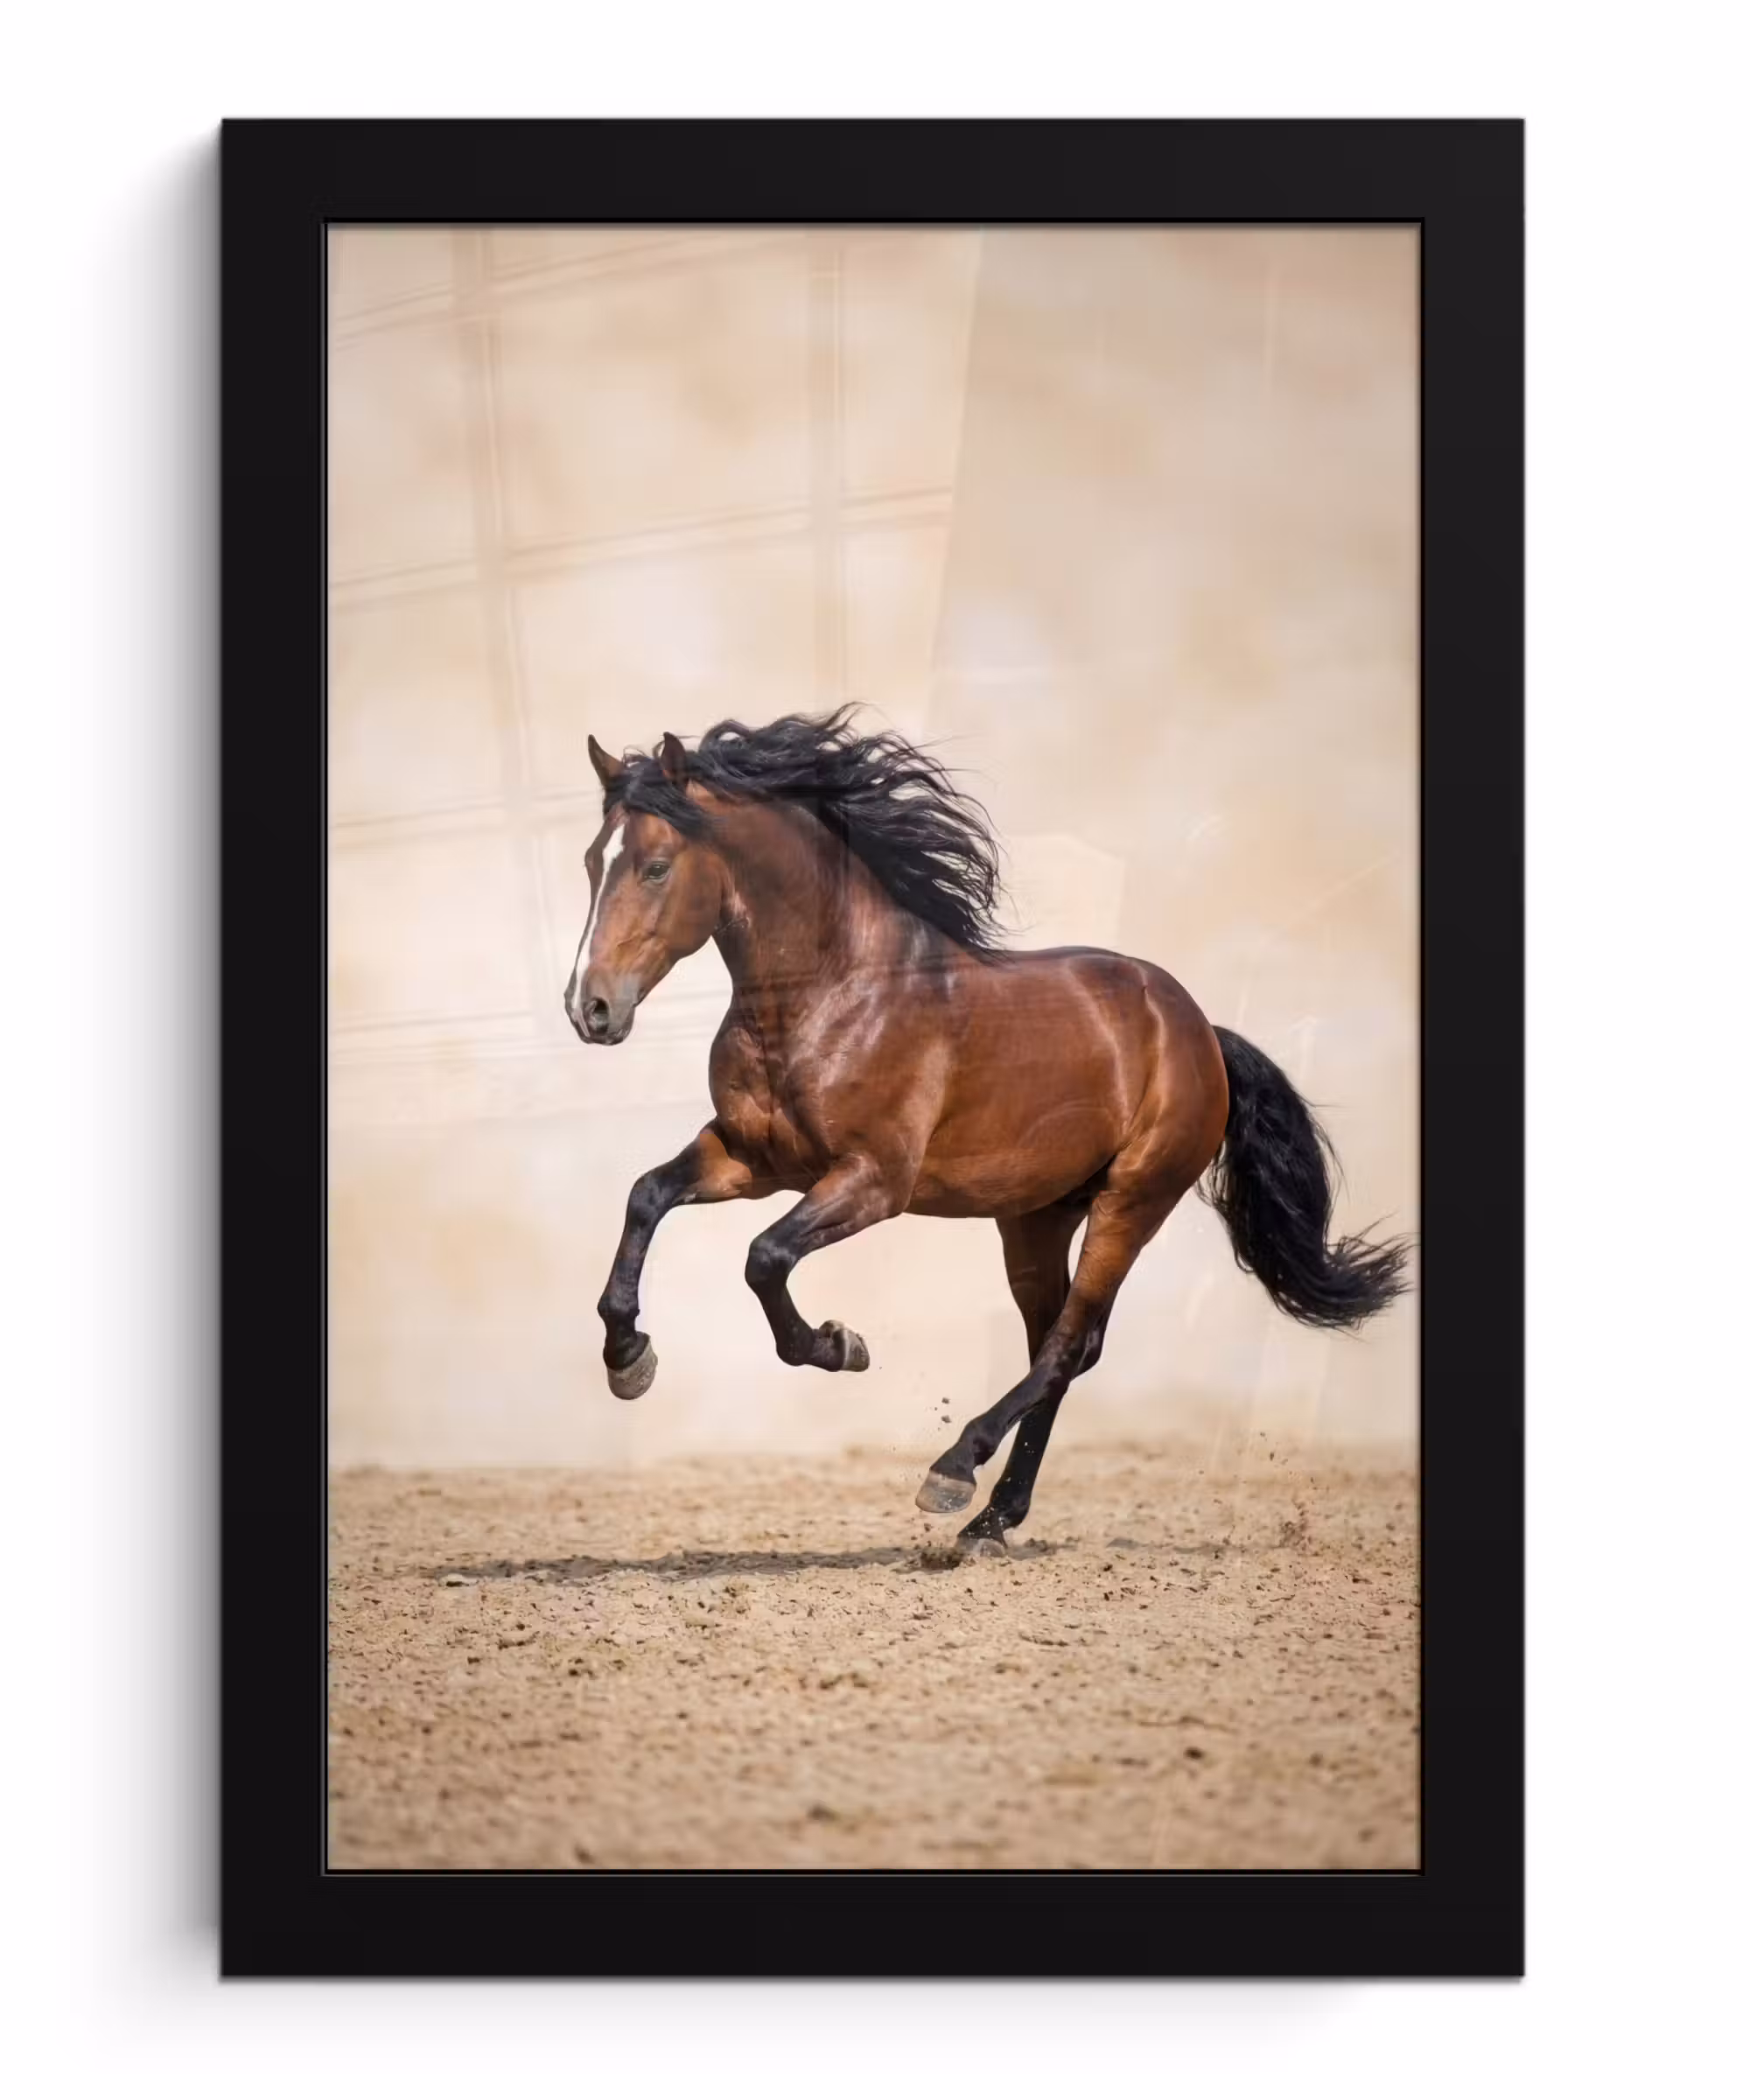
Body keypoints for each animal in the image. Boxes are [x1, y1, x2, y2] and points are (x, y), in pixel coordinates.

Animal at [563, 707, 1409, 1548]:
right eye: (592, 860)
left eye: (655, 867)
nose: (589, 1008)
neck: (832, 993)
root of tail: (1200, 1031)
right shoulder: (751, 1159)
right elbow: (647, 1196)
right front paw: (629, 1359)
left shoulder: (873, 1181)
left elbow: (765, 1257)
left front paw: (840, 1346)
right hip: (1035, 1218)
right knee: (1062, 1346)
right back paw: (995, 1517)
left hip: (1132, 1202)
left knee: (1066, 1346)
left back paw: (955, 1472)